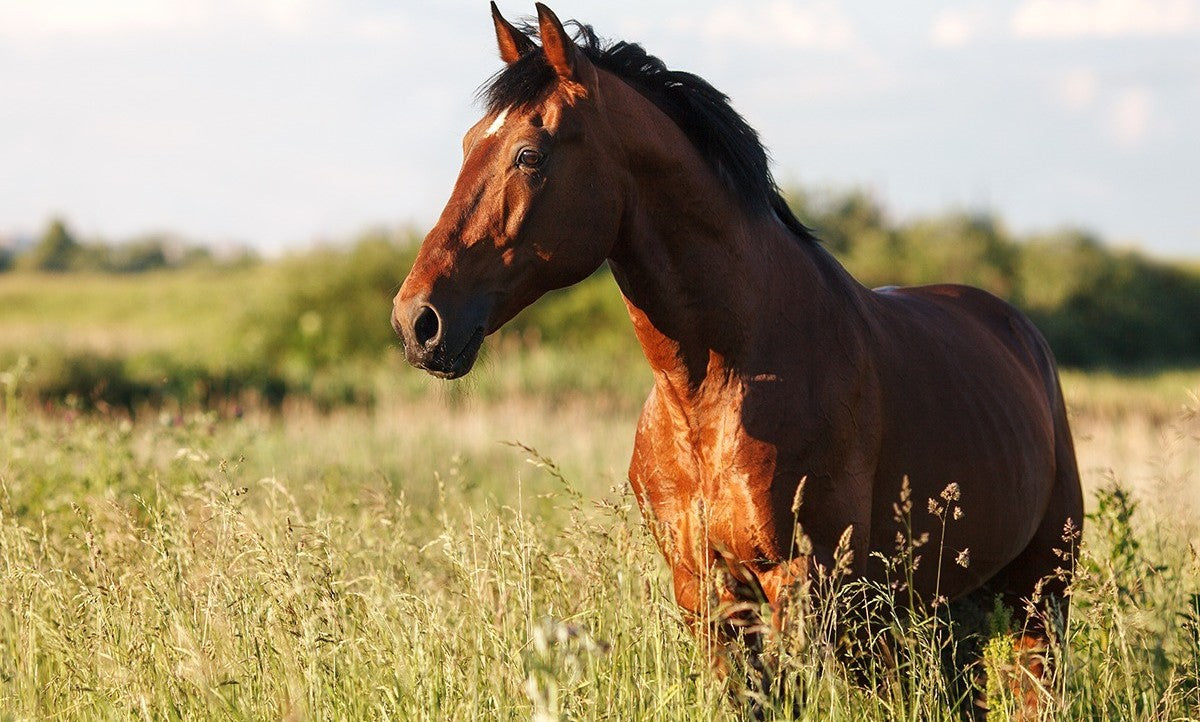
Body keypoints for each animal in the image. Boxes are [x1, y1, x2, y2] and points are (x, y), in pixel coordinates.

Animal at [392, 3, 1083, 713]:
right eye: (469, 143)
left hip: (1038, 592)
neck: (719, 388)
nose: (418, 321)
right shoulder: (704, 591)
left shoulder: (805, 584)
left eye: (529, 154)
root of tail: (1018, 332)